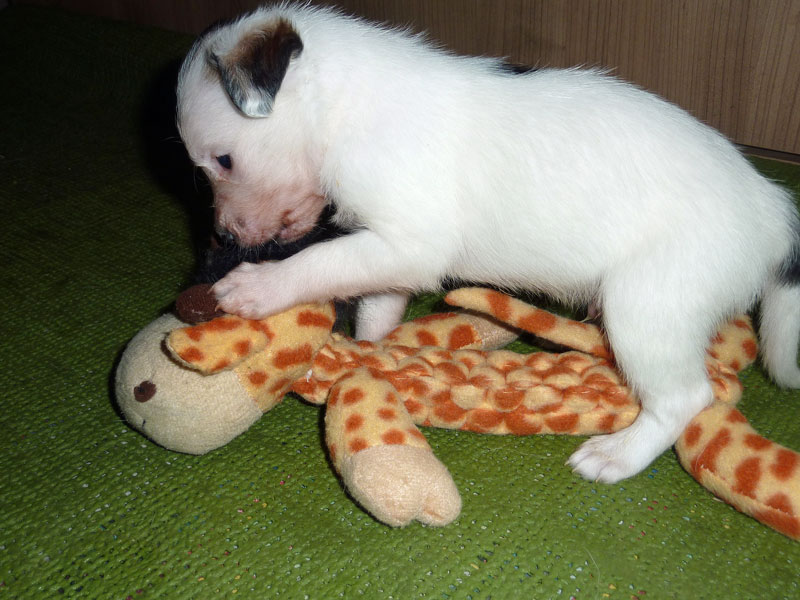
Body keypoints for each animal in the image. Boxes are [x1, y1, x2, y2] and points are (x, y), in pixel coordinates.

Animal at [176, 3, 800, 483]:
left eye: (223, 160)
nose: (223, 238)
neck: (342, 107)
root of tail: (774, 210)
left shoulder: (409, 241)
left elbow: (319, 260)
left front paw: (256, 288)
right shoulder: (387, 250)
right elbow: (376, 305)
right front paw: (375, 354)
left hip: (651, 305)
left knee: (684, 397)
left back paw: (617, 456)